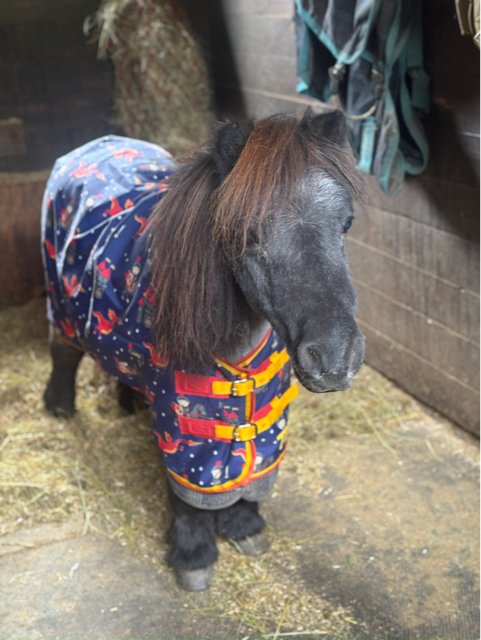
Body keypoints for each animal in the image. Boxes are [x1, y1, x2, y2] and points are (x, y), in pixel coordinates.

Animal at [41, 107, 365, 591]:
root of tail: (97, 145)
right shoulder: (182, 417)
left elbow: (256, 467)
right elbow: (189, 493)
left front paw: (243, 526)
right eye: (248, 233)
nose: (335, 359)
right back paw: (59, 407)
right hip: (63, 307)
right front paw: (194, 553)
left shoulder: (267, 402)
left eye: (345, 223)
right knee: (63, 353)